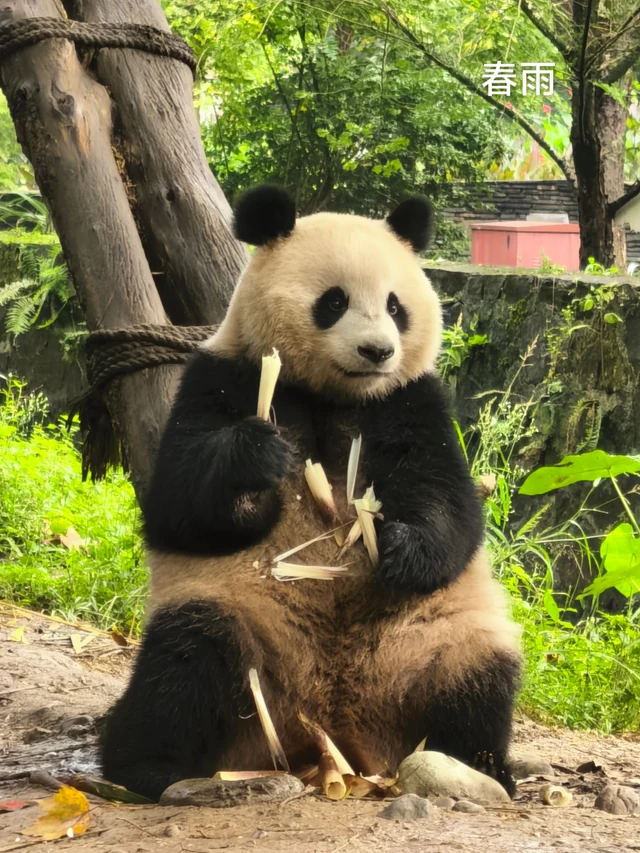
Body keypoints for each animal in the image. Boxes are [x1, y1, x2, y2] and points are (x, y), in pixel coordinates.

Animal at [100, 185, 522, 802]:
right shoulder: (221, 375)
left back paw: (479, 767)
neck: (335, 394)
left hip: (436, 637)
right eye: (334, 301)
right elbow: (179, 505)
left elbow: (449, 503)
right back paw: (145, 768)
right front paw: (255, 459)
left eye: (396, 305)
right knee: (186, 665)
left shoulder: (410, 400)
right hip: (239, 627)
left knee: (477, 677)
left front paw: (399, 549)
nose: (378, 351)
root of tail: (336, 732)